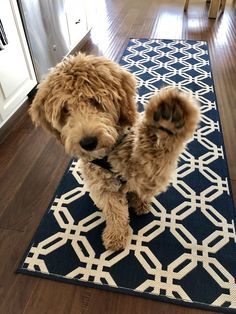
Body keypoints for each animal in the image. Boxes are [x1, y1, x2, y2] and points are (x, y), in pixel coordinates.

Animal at [29, 53, 199, 250]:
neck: (107, 156)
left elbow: (156, 155)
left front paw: (167, 123)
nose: (88, 142)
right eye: (65, 110)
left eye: (96, 101)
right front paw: (116, 235)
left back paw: (141, 202)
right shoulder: (103, 187)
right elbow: (114, 211)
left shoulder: (145, 174)